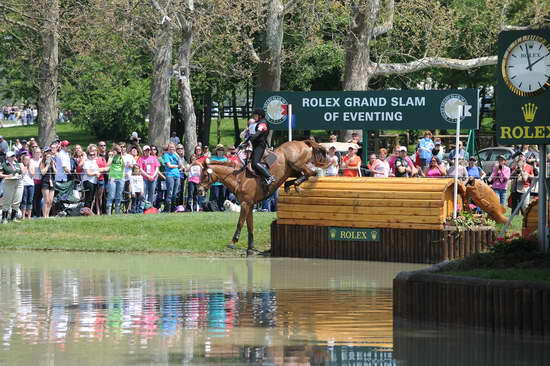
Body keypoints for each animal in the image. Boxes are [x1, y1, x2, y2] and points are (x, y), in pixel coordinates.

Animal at [197, 140, 328, 254]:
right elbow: (250, 225)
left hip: (296, 163)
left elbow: (240, 223)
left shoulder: (245, 204)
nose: (199, 190)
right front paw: (250, 247)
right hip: (292, 170)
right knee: (306, 174)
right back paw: (289, 185)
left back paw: (295, 184)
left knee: (311, 173)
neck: (239, 178)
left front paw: (233, 242)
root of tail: (302, 142)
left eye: (204, 175)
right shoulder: (249, 205)